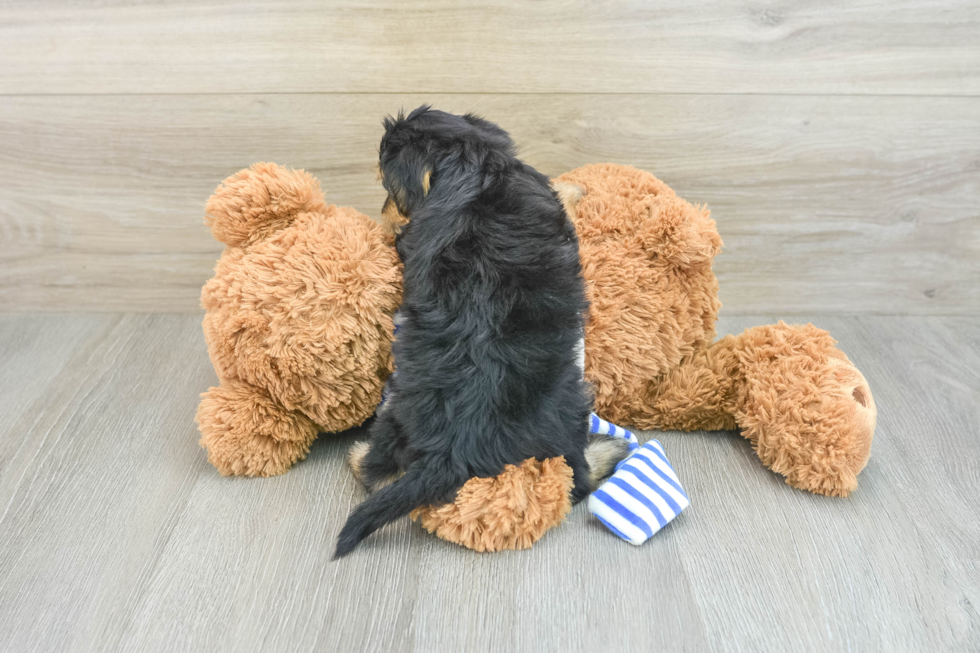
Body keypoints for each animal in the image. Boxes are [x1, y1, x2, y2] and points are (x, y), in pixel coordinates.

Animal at [336, 107, 628, 556]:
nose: (384, 216)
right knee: (576, 478)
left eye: (388, 190)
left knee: (376, 471)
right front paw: (575, 188)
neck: (474, 167)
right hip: (568, 409)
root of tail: (454, 450)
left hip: (401, 417)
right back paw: (609, 450)